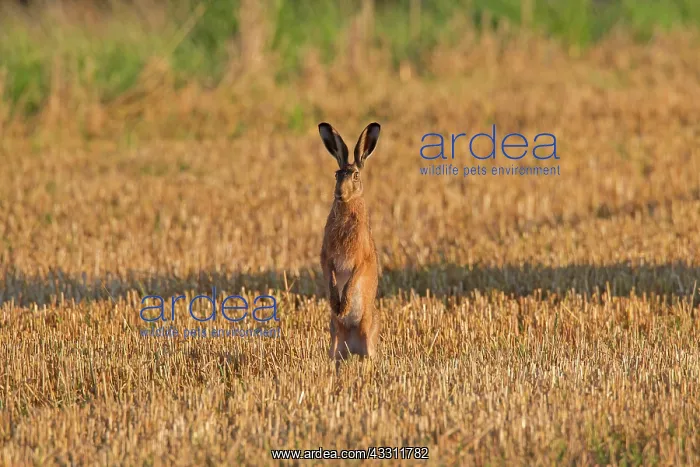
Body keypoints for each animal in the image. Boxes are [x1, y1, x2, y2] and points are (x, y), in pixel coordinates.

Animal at [318, 121, 382, 361]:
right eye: (337, 174)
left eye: (355, 175)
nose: (339, 193)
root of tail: (352, 348)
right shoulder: (326, 257)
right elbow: (331, 277)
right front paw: (336, 304)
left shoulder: (361, 259)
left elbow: (352, 279)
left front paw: (343, 306)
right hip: (334, 337)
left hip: (368, 332)